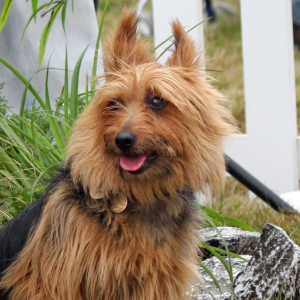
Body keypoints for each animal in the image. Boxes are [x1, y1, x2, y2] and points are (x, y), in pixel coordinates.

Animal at [0, 9, 234, 300]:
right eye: (114, 104)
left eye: (157, 101)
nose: (122, 140)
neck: (140, 194)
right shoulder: (50, 283)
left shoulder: (156, 282)